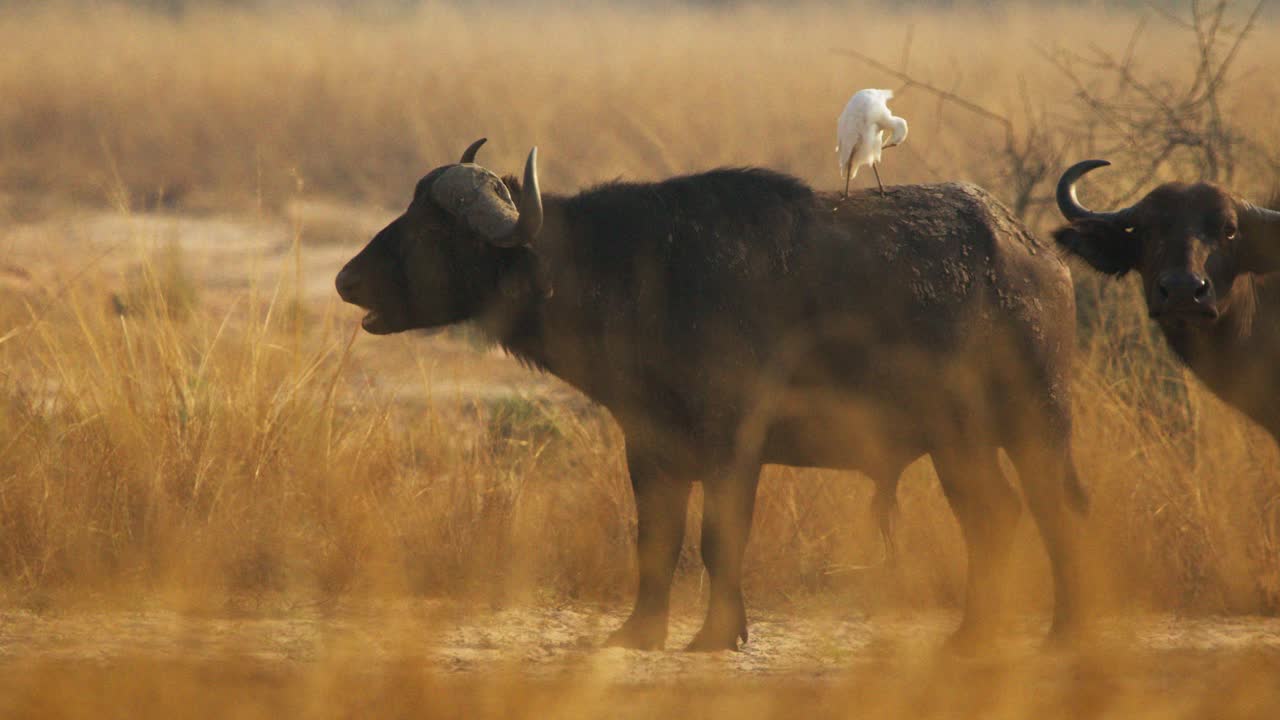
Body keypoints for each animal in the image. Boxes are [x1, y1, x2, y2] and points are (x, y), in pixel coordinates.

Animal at [336, 139, 1090, 652]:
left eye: (432, 228)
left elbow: (719, 537)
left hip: (1035, 421)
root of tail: (1038, 259)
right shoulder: (648, 445)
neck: (638, 274)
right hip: (963, 441)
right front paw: (638, 632)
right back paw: (985, 632)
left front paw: (716, 634)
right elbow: (657, 538)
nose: (346, 280)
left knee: (1049, 510)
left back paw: (1050, 631)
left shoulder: (735, 442)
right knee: (998, 515)